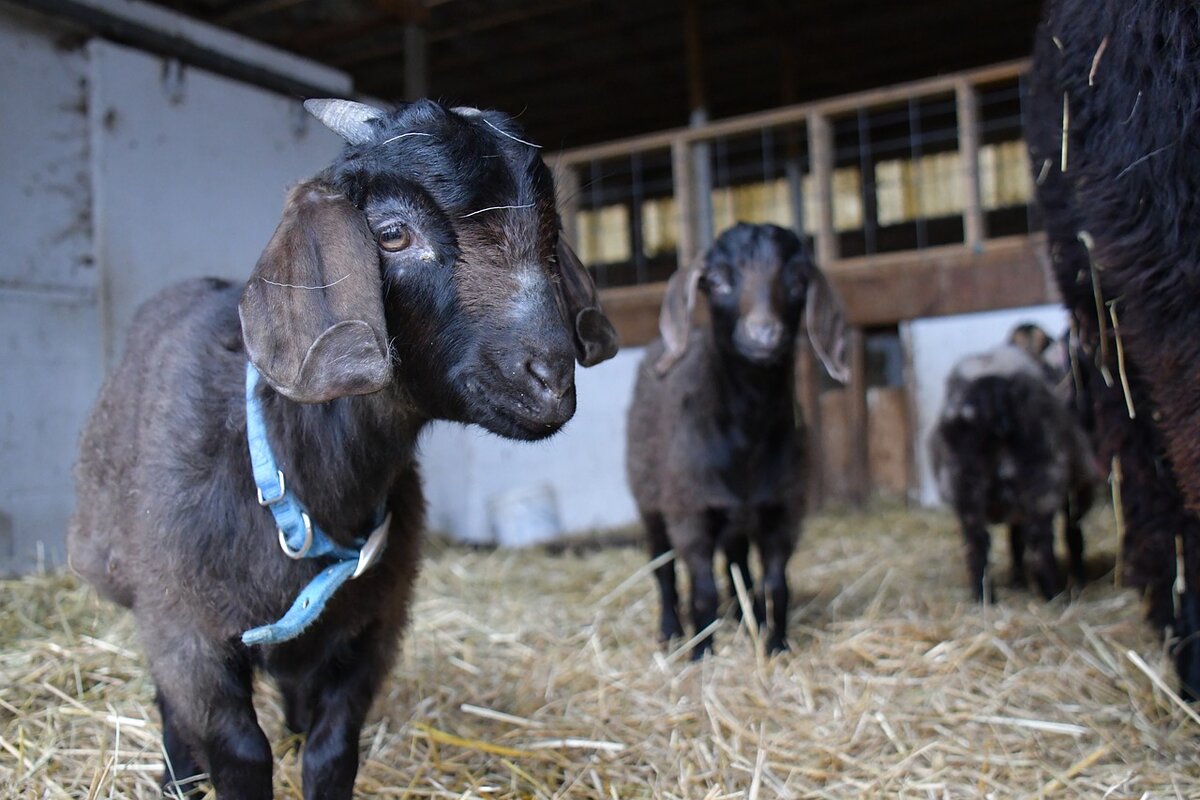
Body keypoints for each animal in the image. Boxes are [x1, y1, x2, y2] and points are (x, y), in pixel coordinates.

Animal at [63, 100, 619, 800]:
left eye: (551, 233)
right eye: (392, 234)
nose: (550, 377)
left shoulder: (369, 630)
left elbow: (330, 751)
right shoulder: (185, 631)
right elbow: (237, 751)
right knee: (171, 712)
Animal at [624, 220, 849, 657]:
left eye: (797, 281)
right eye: (717, 281)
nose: (763, 334)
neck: (746, 438)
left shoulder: (782, 511)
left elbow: (775, 585)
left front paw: (775, 643)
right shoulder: (689, 511)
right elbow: (702, 589)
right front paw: (702, 652)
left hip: (737, 521)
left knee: (738, 565)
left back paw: (745, 619)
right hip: (650, 502)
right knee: (662, 568)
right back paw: (671, 630)